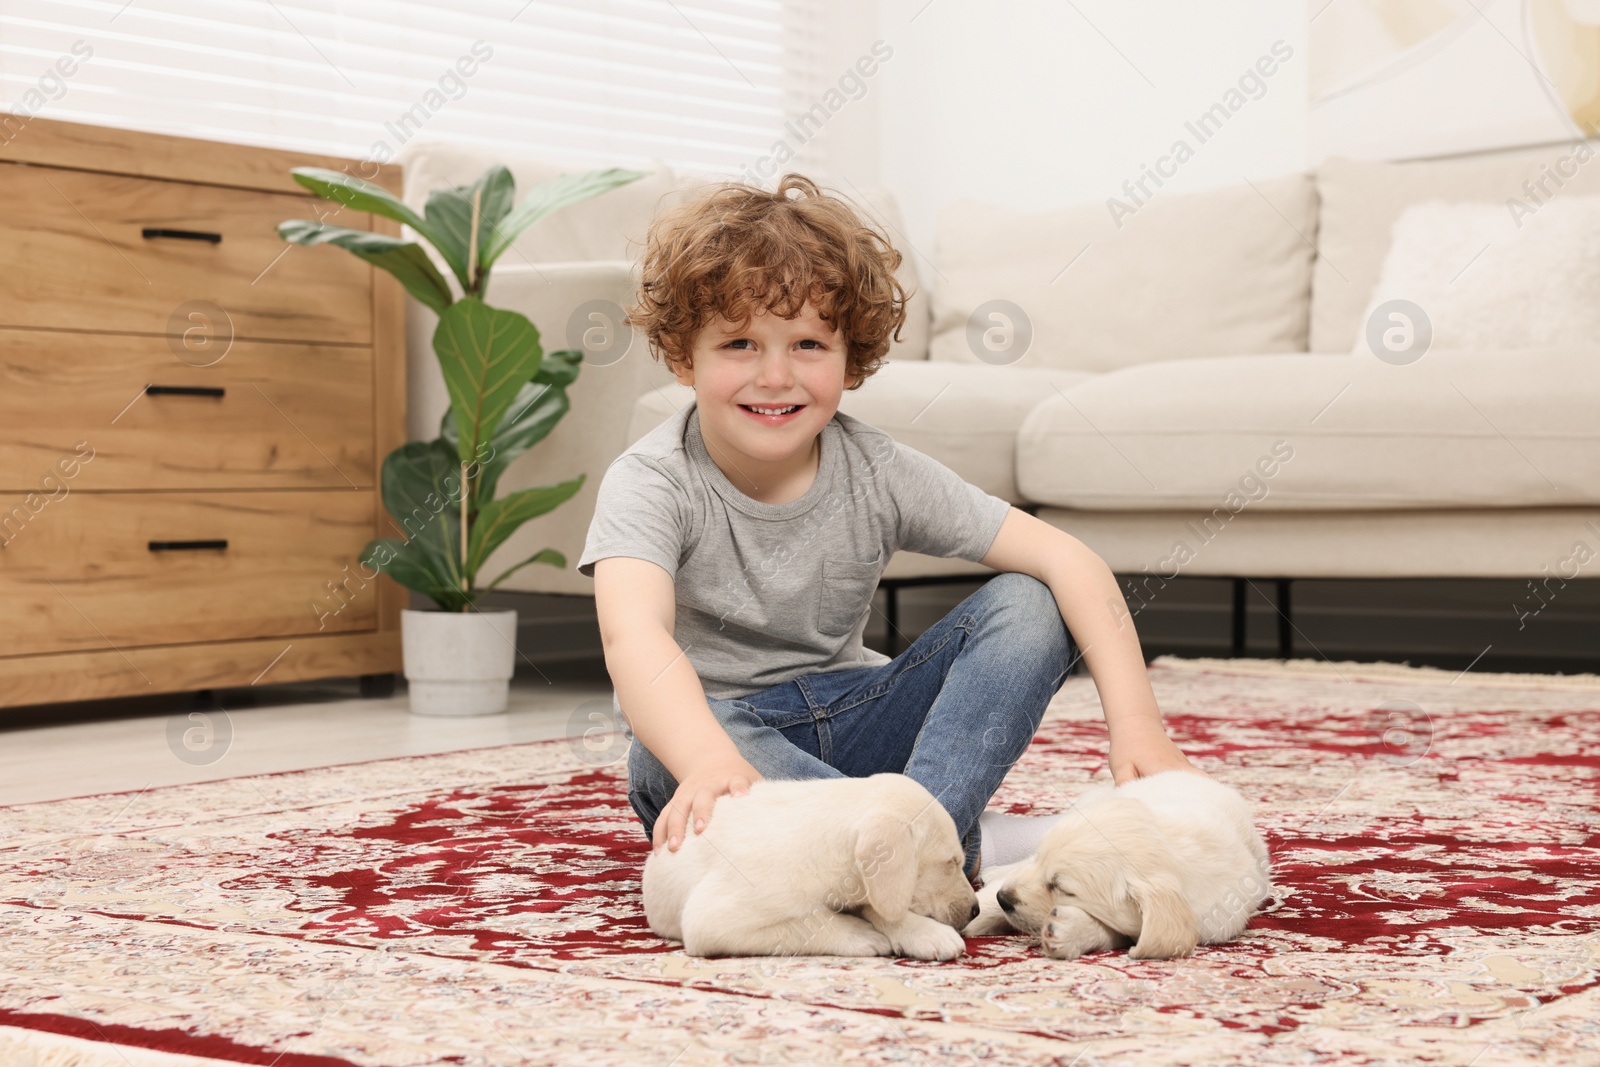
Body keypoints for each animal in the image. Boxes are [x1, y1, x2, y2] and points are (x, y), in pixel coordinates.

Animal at [643, 767, 979, 959]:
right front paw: (861, 935)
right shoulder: (712, 920)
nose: (976, 910)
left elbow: (880, 909)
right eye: (950, 862)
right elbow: (809, 921)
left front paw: (922, 932)